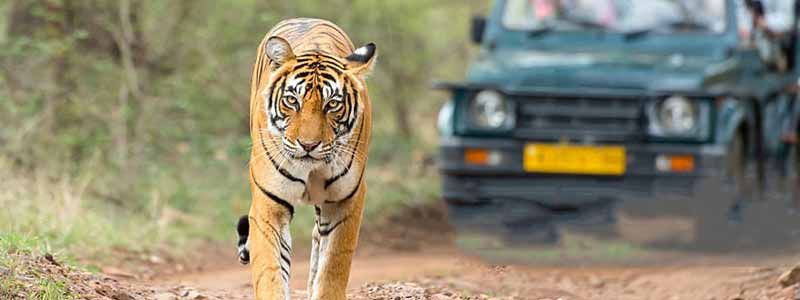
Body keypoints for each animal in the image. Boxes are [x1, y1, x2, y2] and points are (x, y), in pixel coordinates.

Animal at [236, 18, 376, 300]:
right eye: (292, 100)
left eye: (332, 104)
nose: (308, 145)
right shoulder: (269, 205)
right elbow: (270, 270)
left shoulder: (346, 201)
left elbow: (333, 265)